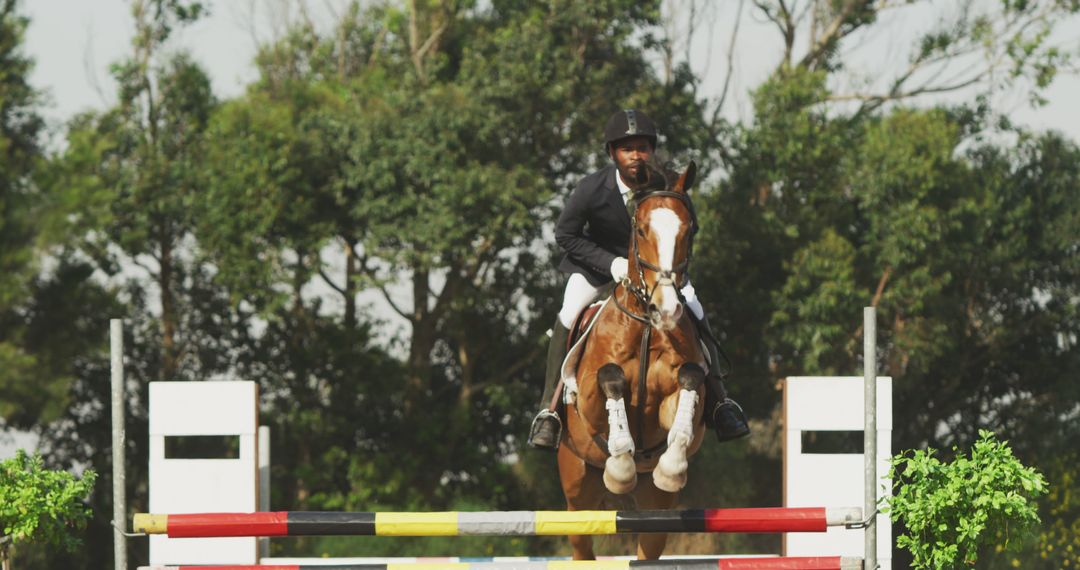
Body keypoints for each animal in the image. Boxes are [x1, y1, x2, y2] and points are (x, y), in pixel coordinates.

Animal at [557, 157, 708, 557]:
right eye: (640, 230)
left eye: (689, 229)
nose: (666, 309)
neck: (645, 328)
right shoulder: (589, 405)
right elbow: (611, 379)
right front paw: (621, 466)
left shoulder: (674, 402)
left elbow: (690, 381)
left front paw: (671, 466)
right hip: (576, 489)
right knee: (581, 543)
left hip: (656, 509)